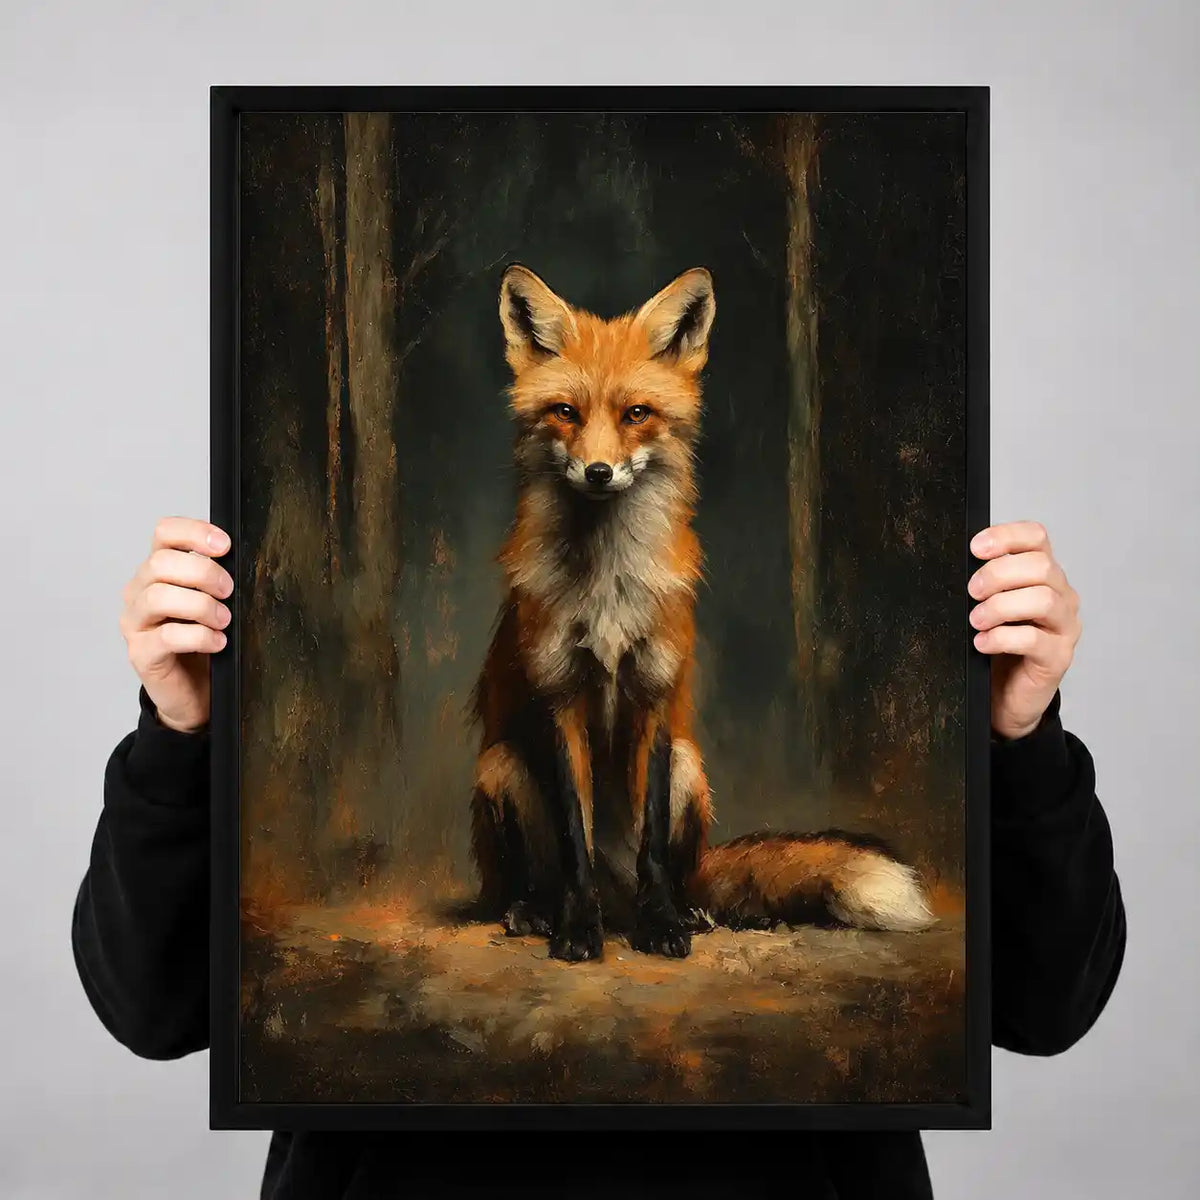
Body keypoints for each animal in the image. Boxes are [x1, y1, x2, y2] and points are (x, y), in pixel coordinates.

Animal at [468, 263, 935, 961]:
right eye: (565, 413)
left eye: (636, 414)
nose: (599, 472)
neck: (607, 583)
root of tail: (617, 893)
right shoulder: (560, 699)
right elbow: (576, 843)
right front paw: (578, 929)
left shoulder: (658, 699)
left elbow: (654, 845)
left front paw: (662, 925)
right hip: (500, 768)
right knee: (543, 877)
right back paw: (538, 911)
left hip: (692, 767)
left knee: (674, 872)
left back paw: (681, 911)